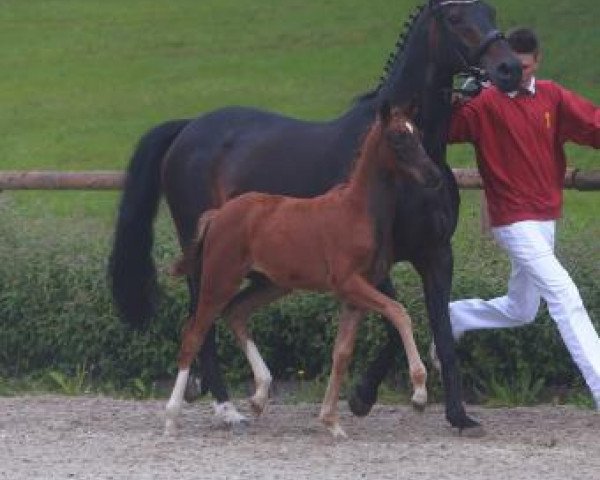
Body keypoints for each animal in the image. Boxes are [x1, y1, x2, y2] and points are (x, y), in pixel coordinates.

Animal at [166, 103, 442, 436]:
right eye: (398, 137)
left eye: (419, 134)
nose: (434, 175)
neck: (358, 211)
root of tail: (218, 214)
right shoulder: (349, 283)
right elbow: (399, 312)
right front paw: (419, 393)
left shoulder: (356, 297)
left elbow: (341, 354)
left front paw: (331, 422)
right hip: (220, 280)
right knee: (193, 335)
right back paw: (172, 417)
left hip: (272, 284)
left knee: (235, 313)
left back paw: (260, 394)